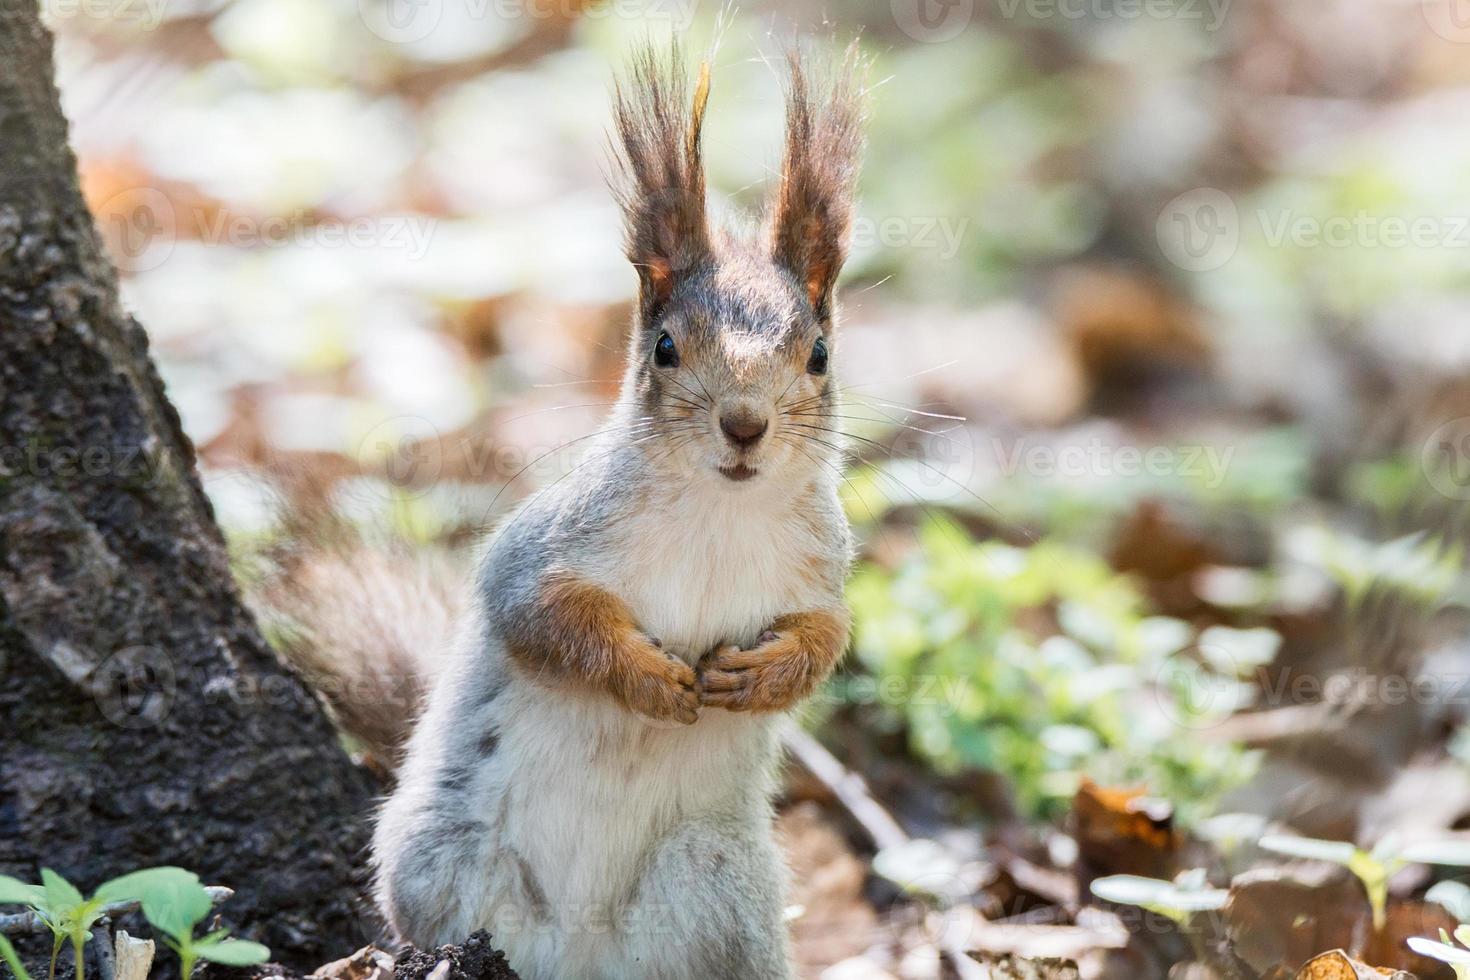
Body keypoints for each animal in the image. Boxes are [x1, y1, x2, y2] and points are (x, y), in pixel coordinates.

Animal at [260, 40, 864, 980]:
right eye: (665, 348)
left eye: (820, 355)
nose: (744, 424)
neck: (721, 512)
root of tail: (581, 954)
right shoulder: (545, 547)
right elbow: (543, 616)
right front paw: (644, 676)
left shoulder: (823, 570)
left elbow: (829, 639)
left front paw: (766, 673)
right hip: (447, 855)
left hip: (718, 875)